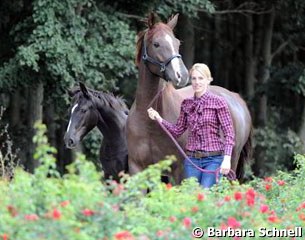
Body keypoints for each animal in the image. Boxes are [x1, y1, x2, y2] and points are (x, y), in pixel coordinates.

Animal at [126, 13, 252, 184]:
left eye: (177, 43)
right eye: (156, 44)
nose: (183, 75)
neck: (148, 123)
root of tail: (236, 98)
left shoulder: (178, 170)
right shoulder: (137, 168)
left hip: (231, 163)